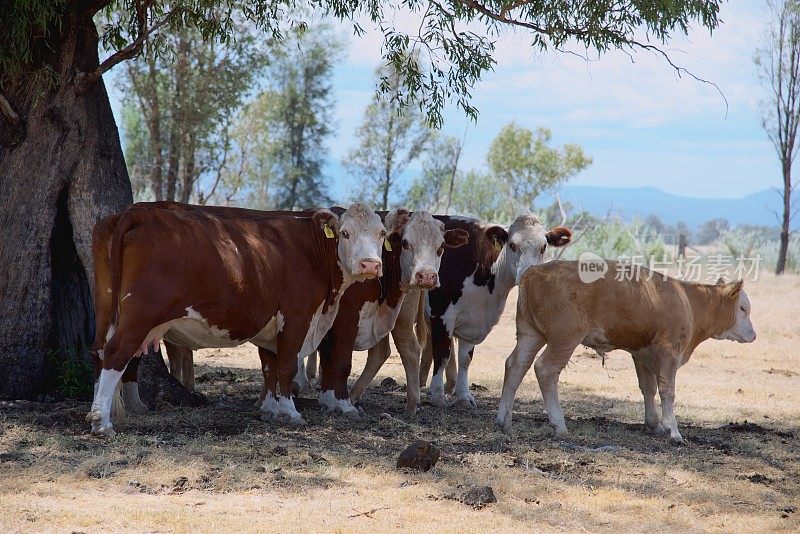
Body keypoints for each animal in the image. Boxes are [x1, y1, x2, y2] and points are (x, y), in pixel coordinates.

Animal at [89, 201, 386, 436]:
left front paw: (271, 410)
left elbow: (270, 367)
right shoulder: (296, 318)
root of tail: (138, 213)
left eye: (381, 234)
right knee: (116, 352)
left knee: (99, 351)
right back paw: (102, 422)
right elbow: (287, 366)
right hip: (141, 314)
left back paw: (96, 411)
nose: (370, 265)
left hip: (106, 308)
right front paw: (290, 413)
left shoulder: (271, 326)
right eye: (345, 233)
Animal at [348, 216, 568, 412]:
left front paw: (464, 396)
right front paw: (438, 396)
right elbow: (442, 354)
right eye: (513, 245)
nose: (527, 276)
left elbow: (465, 358)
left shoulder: (472, 320)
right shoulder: (441, 314)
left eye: (543, 247)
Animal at [494, 262, 756, 444]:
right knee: (545, 370)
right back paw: (559, 424)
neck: (688, 300)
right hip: (564, 339)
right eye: (743, 308)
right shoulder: (669, 351)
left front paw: (654, 424)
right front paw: (673, 431)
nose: (753, 335)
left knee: (515, 366)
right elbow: (667, 391)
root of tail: (535, 271)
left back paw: (503, 420)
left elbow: (648, 388)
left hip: (530, 334)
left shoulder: (642, 354)